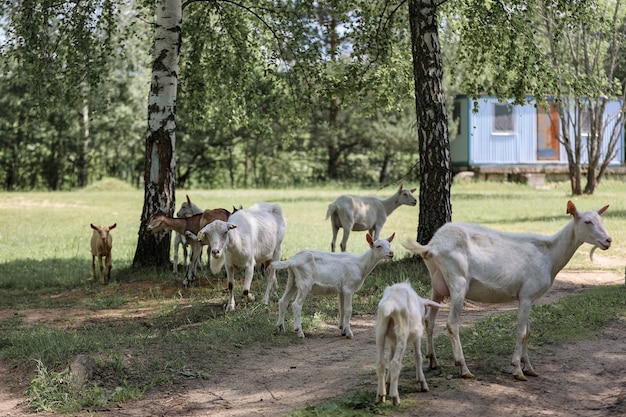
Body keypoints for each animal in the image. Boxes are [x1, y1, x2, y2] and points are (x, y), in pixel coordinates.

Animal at [400, 200, 608, 378]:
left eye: (601, 220)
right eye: (587, 221)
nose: (608, 240)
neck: (548, 255)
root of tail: (431, 246)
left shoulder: (528, 297)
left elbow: (528, 331)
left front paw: (529, 367)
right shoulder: (526, 294)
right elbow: (521, 332)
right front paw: (517, 369)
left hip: (437, 284)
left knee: (429, 319)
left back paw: (433, 361)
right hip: (458, 280)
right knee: (452, 323)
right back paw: (463, 367)